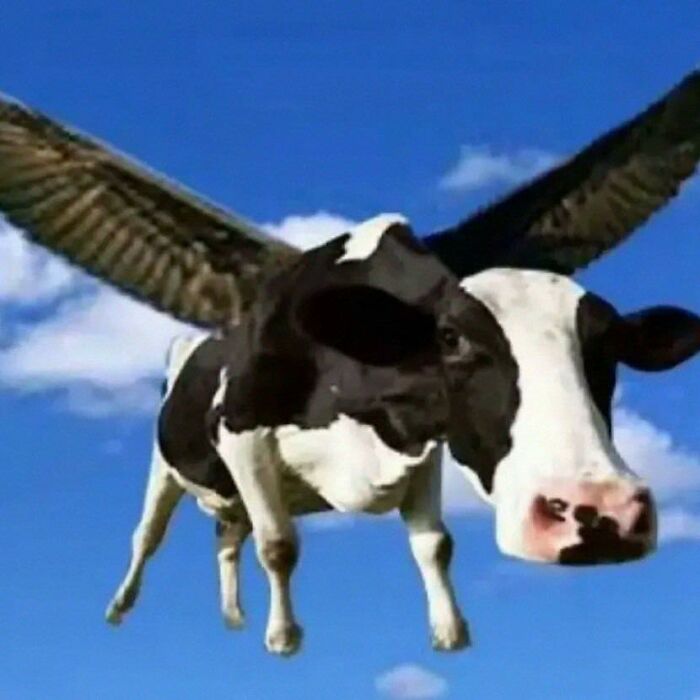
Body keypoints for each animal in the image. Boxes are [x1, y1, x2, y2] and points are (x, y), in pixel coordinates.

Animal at [102, 215, 700, 655]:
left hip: (230, 497)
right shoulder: (240, 430)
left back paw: (232, 614)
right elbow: (279, 545)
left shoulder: (423, 446)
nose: (600, 513)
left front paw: (450, 631)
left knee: (228, 535)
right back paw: (120, 605)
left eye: (609, 345)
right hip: (166, 470)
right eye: (452, 338)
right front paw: (284, 637)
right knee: (147, 536)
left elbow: (434, 544)